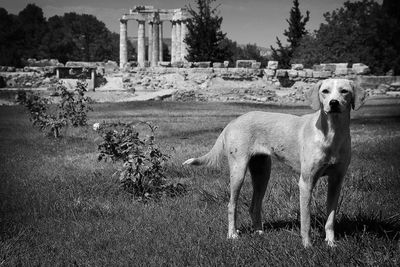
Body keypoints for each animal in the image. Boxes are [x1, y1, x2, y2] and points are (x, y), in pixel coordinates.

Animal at [184, 78, 366, 248]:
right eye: (325, 91)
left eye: (344, 91)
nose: (333, 103)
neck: (331, 134)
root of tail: (233, 122)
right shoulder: (306, 182)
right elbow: (306, 220)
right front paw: (307, 246)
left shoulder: (336, 181)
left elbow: (330, 219)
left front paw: (330, 243)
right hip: (238, 172)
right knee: (231, 205)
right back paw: (232, 234)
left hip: (262, 174)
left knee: (254, 206)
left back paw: (259, 232)